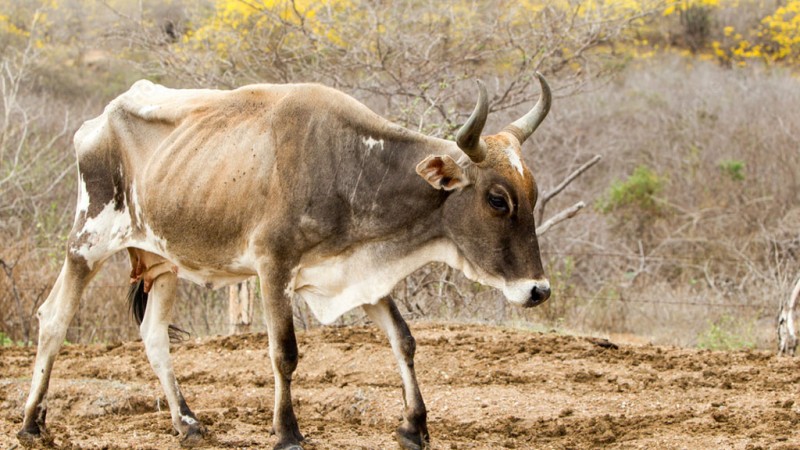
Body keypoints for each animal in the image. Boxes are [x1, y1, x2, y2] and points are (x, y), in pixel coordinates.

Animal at [18, 73, 552, 449]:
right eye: (497, 199)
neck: (349, 164)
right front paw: (288, 432)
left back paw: (187, 422)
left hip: (161, 260)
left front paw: (414, 426)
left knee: (153, 336)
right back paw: (30, 423)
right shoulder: (273, 268)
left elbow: (403, 340)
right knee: (53, 319)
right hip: (87, 241)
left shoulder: (360, 275)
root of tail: (99, 120)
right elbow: (285, 353)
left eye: (532, 194)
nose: (539, 291)